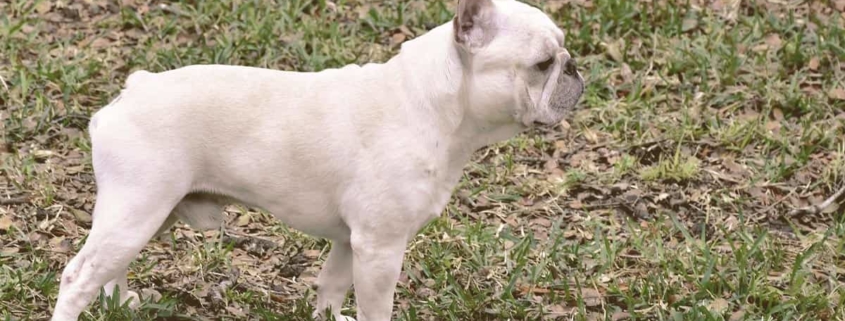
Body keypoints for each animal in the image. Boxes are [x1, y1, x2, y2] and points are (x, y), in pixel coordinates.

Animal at [49, 0, 584, 320]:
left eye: (561, 53)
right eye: (542, 64)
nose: (575, 67)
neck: (432, 105)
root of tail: (132, 90)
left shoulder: (351, 243)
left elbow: (330, 288)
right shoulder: (380, 248)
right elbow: (375, 308)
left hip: (148, 214)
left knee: (109, 267)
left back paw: (122, 301)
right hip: (138, 208)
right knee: (78, 276)